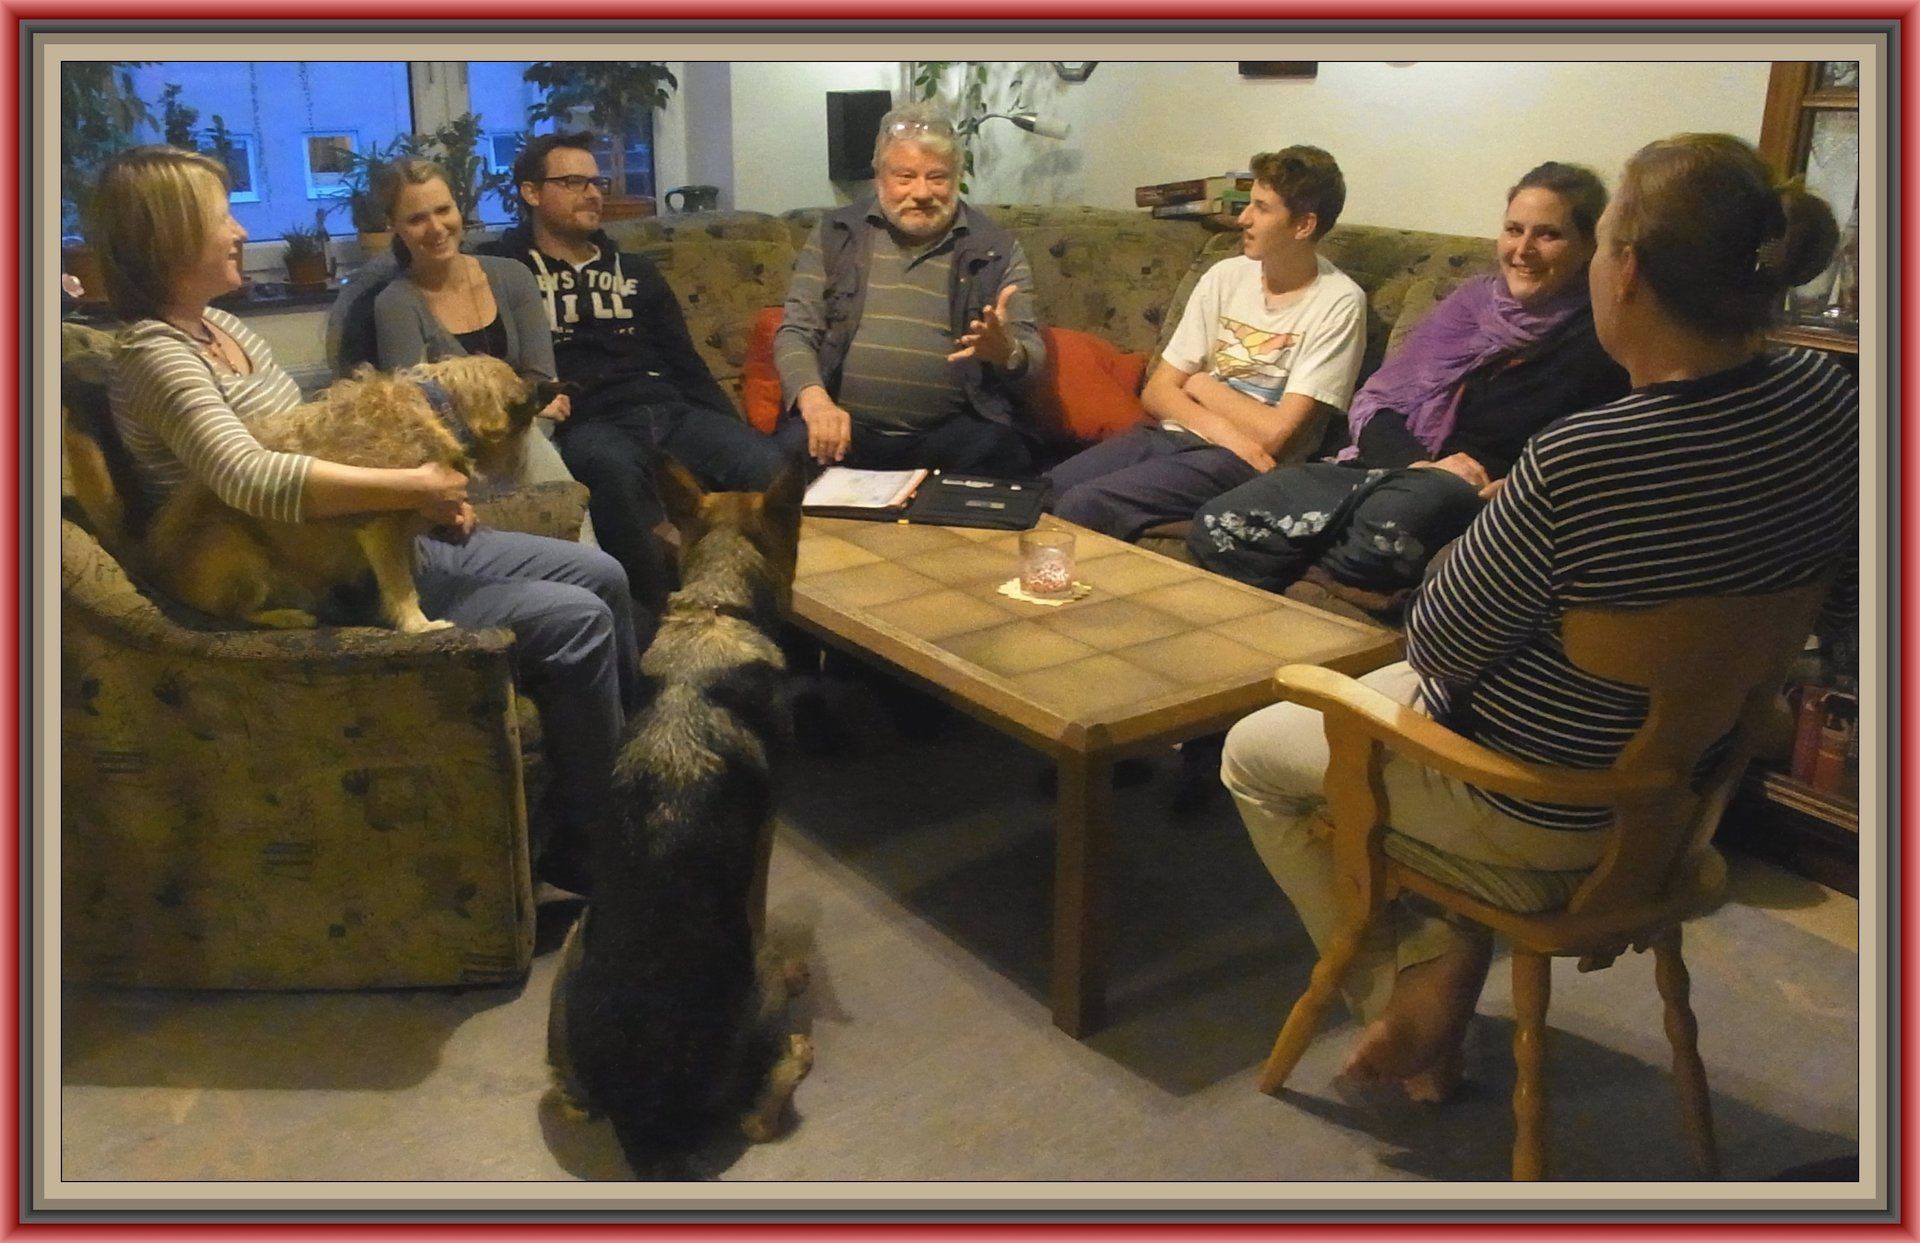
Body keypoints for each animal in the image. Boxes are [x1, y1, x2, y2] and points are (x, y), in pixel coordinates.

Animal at [64, 353, 560, 633]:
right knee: (233, 615)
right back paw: (287, 617)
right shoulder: (380, 527)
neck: (440, 407)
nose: (556, 383)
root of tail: (147, 559)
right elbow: (401, 587)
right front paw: (418, 626)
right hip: (238, 553)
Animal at [546, 456, 814, 1180]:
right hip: (752, 980)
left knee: (566, 1099)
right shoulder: (765, 839)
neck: (714, 609)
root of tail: (644, 1117)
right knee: (763, 1105)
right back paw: (798, 1036)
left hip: (576, 945)